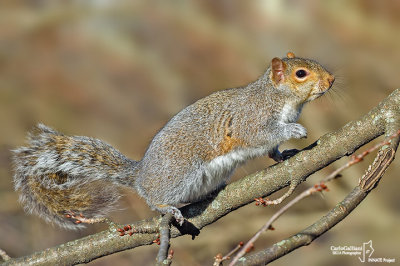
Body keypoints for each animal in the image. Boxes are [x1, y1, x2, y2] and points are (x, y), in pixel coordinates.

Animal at [11, 51, 334, 229]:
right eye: (301, 74)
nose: (331, 80)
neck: (280, 99)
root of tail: (141, 175)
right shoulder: (251, 119)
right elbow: (261, 135)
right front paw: (295, 132)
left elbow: (271, 150)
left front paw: (284, 154)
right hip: (179, 175)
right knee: (153, 198)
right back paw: (167, 208)